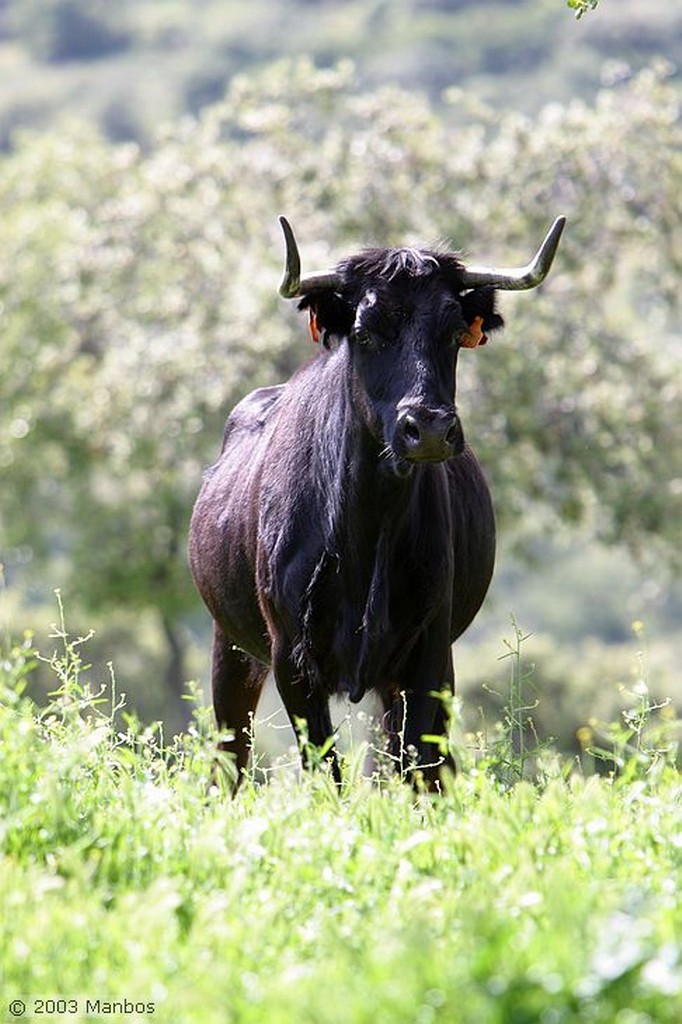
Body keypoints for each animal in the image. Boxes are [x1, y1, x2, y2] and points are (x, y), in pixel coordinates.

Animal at [187, 214, 561, 790]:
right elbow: (325, 770)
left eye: (455, 332)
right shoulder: (292, 658)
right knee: (230, 759)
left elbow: (419, 763)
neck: (366, 527)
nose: (427, 427)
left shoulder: (427, 653)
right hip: (229, 649)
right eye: (364, 332)